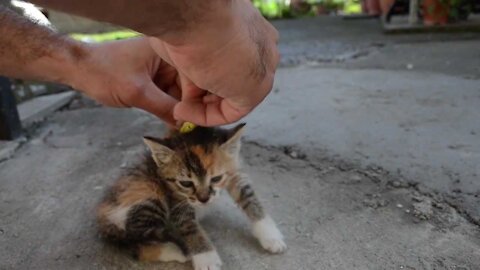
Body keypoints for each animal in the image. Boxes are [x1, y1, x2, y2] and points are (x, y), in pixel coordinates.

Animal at [97, 124, 284, 270]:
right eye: (186, 183)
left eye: (216, 179)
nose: (204, 199)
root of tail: (102, 215)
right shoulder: (175, 199)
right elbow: (188, 226)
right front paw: (206, 257)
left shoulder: (234, 171)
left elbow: (250, 198)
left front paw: (270, 235)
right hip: (148, 192)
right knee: (135, 239)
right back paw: (176, 251)